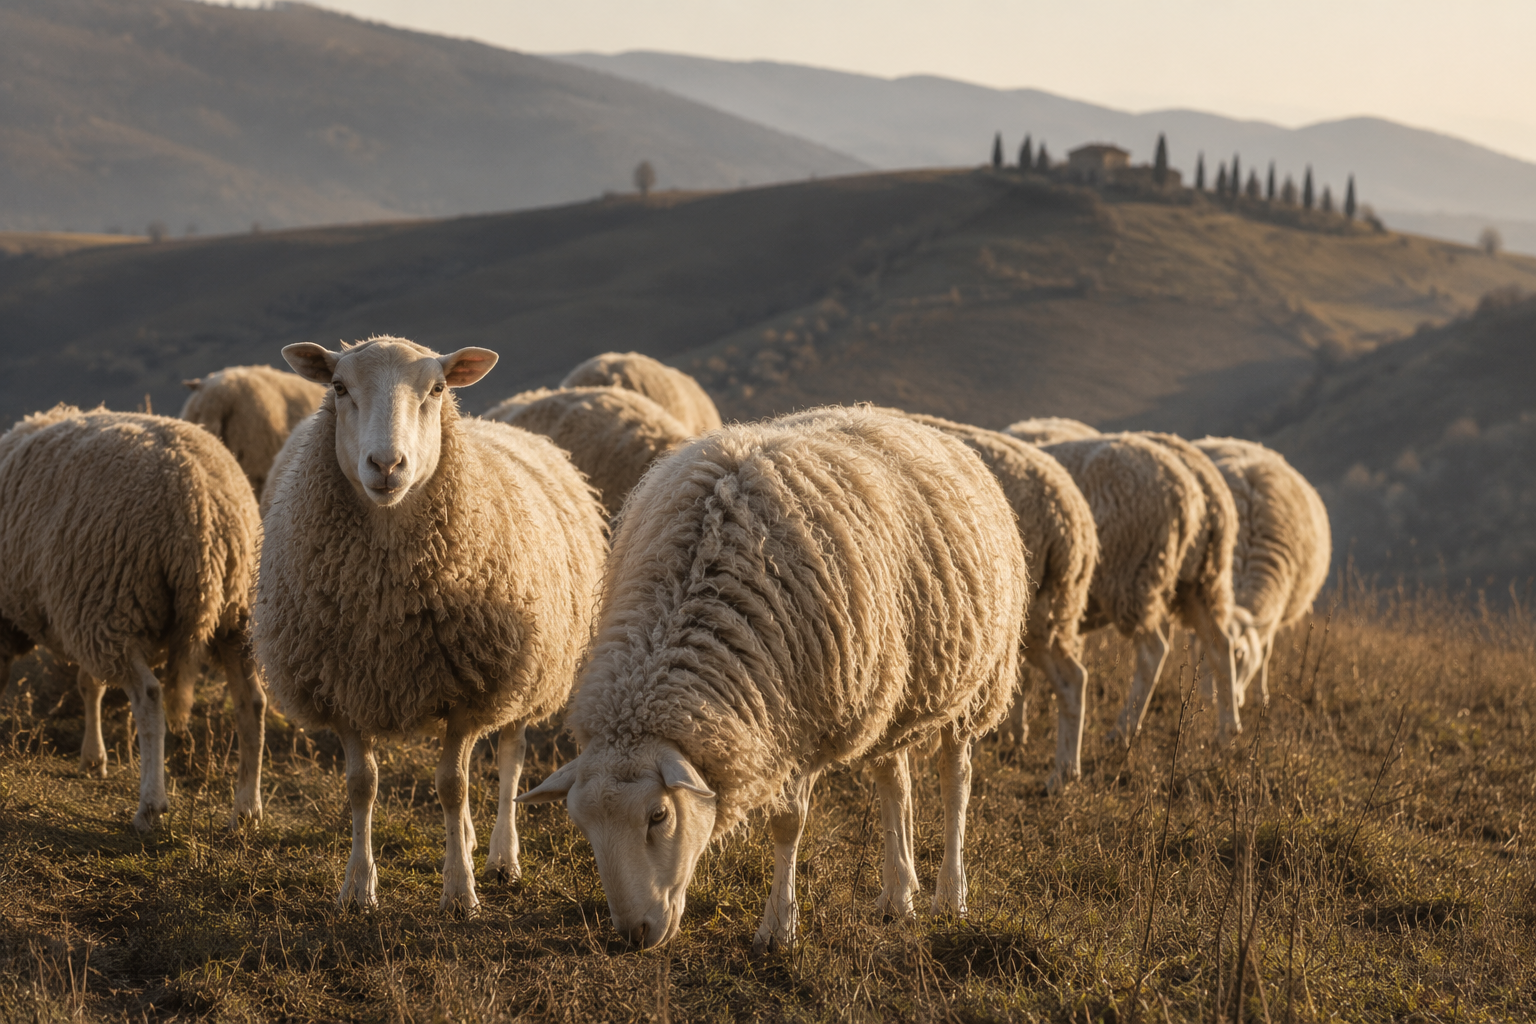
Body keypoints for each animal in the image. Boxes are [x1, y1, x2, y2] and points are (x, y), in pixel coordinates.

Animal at [0, 405, 265, 831]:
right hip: (235, 612)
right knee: (251, 702)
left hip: (111, 599)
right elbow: (89, 683)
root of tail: (204, 508)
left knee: (149, 696)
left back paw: (151, 805)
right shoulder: (76, 616)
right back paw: (246, 809)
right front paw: (94, 758)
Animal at [255, 336, 607, 913]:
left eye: (437, 389)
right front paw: (358, 887)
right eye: (339, 387)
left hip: (526, 670)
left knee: (509, 758)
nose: (386, 464)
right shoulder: (343, 687)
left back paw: (502, 857)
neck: (387, 600)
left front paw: (460, 892)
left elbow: (453, 786)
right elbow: (362, 785)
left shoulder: (472, 689)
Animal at [519, 406, 1030, 951]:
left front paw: (778, 929)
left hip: (978, 683)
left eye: (659, 815)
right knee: (894, 783)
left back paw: (950, 897)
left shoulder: (808, 716)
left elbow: (788, 824)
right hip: (894, 686)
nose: (634, 934)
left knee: (956, 780)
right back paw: (898, 898)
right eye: (582, 824)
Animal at [899, 413, 1098, 790]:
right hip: (1051, 605)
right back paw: (1065, 767)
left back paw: (1061, 773)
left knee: (1072, 680)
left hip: (1029, 614)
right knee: (1072, 678)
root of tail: (1071, 517)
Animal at [1043, 432, 1242, 743]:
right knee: (1220, 645)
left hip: (1132, 576)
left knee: (1153, 651)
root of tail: (1205, 487)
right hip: (1199, 580)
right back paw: (1227, 731)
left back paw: (1123, 730)